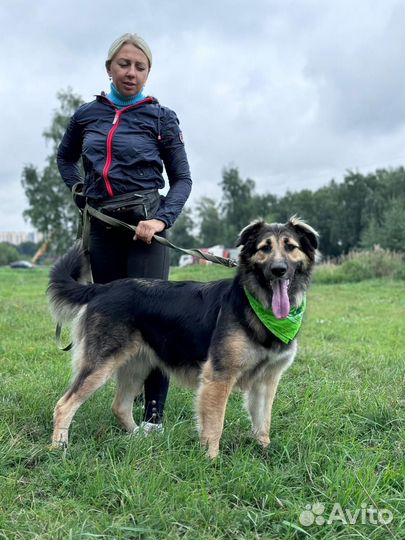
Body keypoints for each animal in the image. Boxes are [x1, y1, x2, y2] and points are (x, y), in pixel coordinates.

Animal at [49, 215, 318, 456]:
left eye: (290, 247)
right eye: (265, 248)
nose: (278, 270)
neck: (257, 307)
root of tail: (102, 289)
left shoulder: (266, 380)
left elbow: (263, 423)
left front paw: (264, 453)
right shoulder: (219, 377)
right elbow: (214, 425)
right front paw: (211, 461)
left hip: (137, 366)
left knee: (119, 407)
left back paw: (138, 438)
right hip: (101, 366)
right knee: (64, 405)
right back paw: (58, 446)